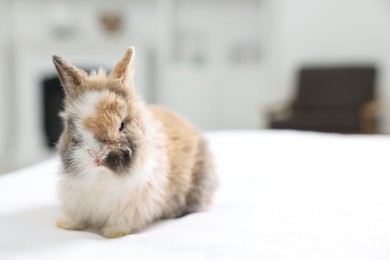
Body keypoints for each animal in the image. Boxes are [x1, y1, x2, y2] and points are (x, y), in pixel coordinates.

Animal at [52, 46, 218, 238]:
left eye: (122, 125)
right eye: (74, 126)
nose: (97, 154)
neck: (101, 177)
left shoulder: (130, 208)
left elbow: (120, 222)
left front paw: (111, 233)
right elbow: (74, 216)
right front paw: (66, 225)